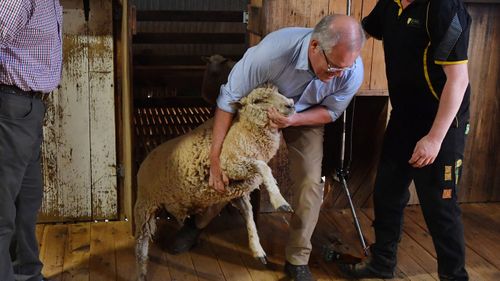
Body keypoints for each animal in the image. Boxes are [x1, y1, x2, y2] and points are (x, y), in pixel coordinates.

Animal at [135, 83, 294, 280]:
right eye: (258, 100)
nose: (290, 104)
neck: (245, 129)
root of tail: (144, 160)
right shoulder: (229, 165)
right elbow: (264, 167)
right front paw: (280, 201)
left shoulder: (238, 192)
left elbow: (249, 217)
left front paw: (258, 250)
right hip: (144, 205)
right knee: (141, 243)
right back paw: (141, 272)